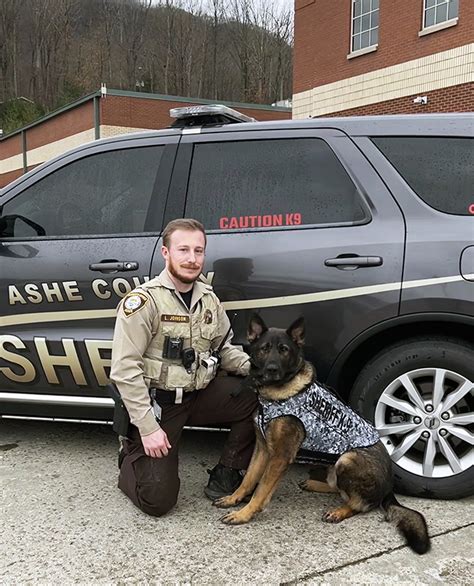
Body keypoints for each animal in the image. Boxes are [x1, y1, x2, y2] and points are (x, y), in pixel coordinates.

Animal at [213, 314, 432, 552]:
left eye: (284, 350)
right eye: (264, 349)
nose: (271, 369)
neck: (278, 394)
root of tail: (389, 487)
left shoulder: (279, 456)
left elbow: (261, 489)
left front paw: (243, 514)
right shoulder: (262, 449)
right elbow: (248, 479)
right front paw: (233, 499)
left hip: (347, 459)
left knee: (361, 504)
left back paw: (339, 511)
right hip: (335, 466)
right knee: (338, 488)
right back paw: (314, 484)